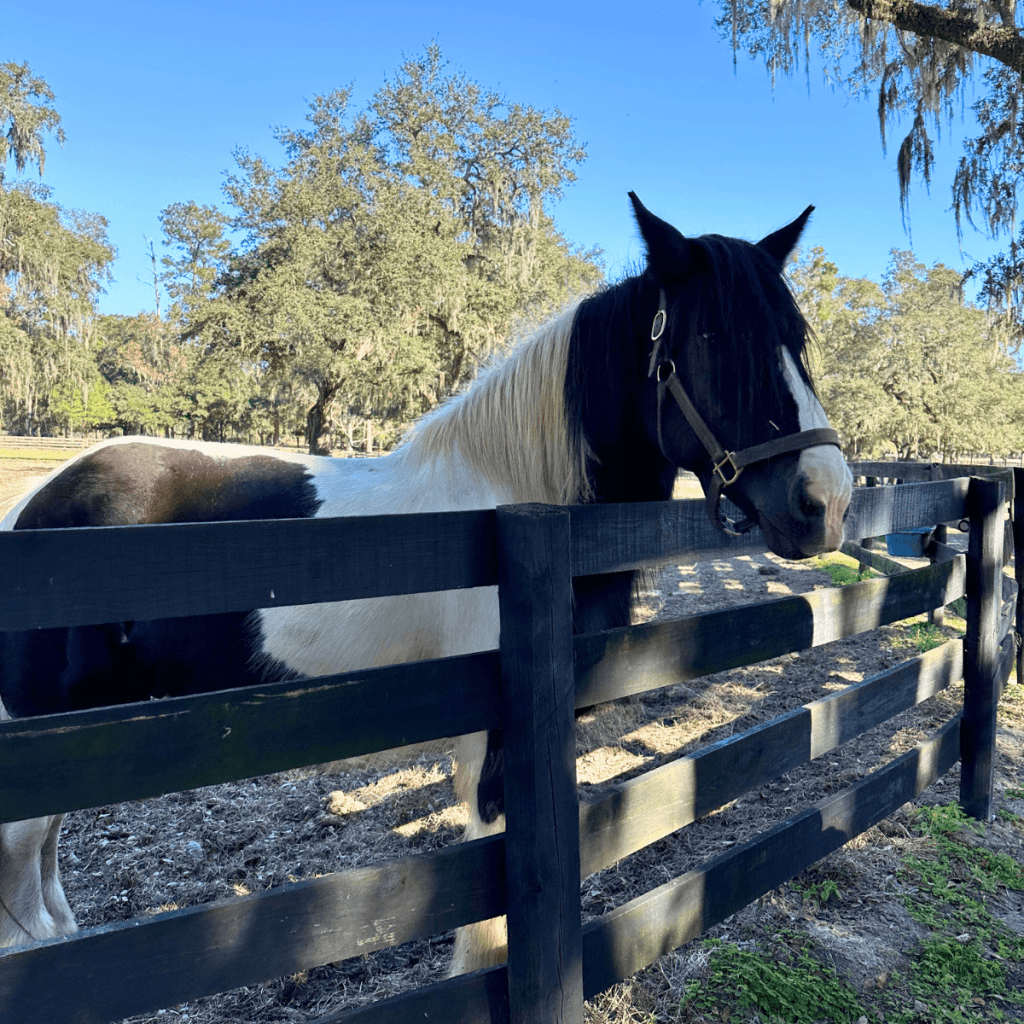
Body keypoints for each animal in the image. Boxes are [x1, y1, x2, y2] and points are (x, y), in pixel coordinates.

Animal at [0, 193, 852, 972]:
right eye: (711, 338)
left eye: (795, 339)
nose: (826, 500)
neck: (511, 498)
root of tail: (35, 506)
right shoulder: (495, 742)